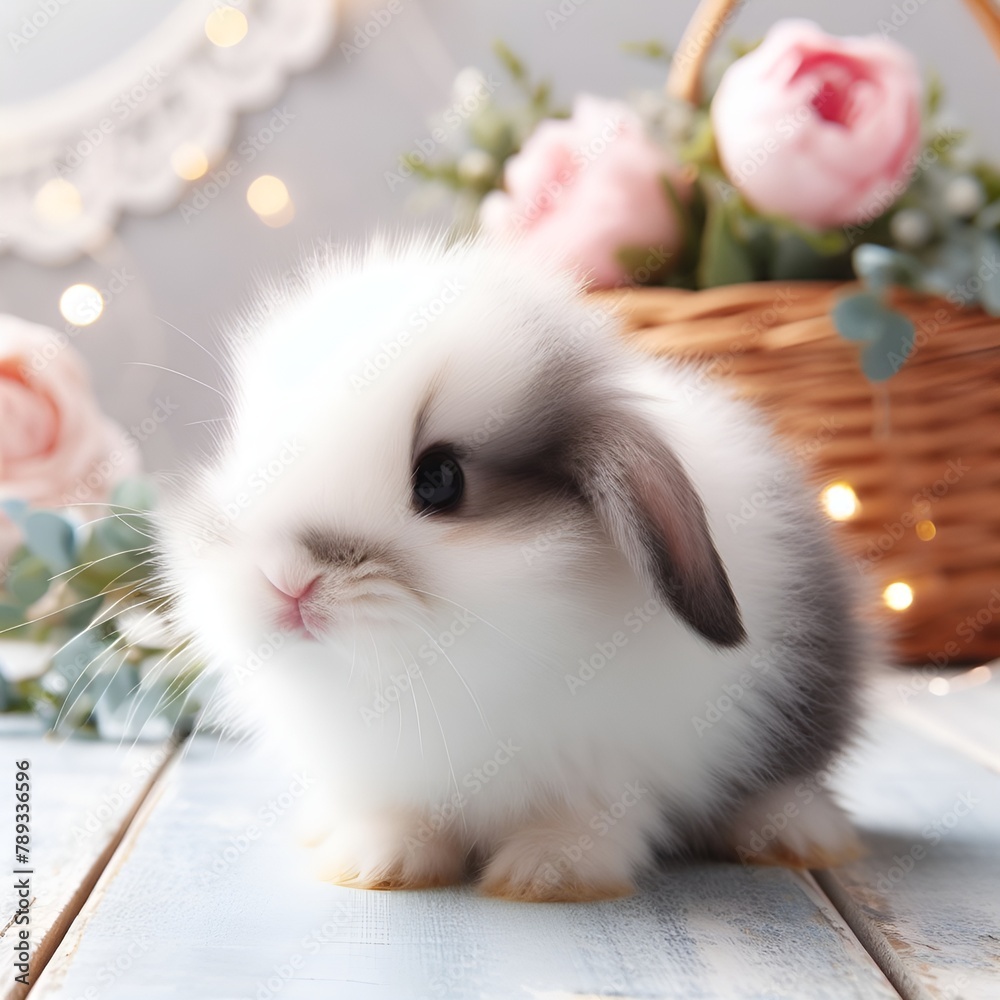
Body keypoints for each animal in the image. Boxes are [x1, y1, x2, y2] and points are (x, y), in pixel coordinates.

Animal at [157, 234, 870, 902]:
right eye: (248, 453)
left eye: (440, 479)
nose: (287, 582)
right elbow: (398, 817)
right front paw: (376, 865)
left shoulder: (611, 767)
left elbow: (588, 820)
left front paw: (548, 876)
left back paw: (794, 837)